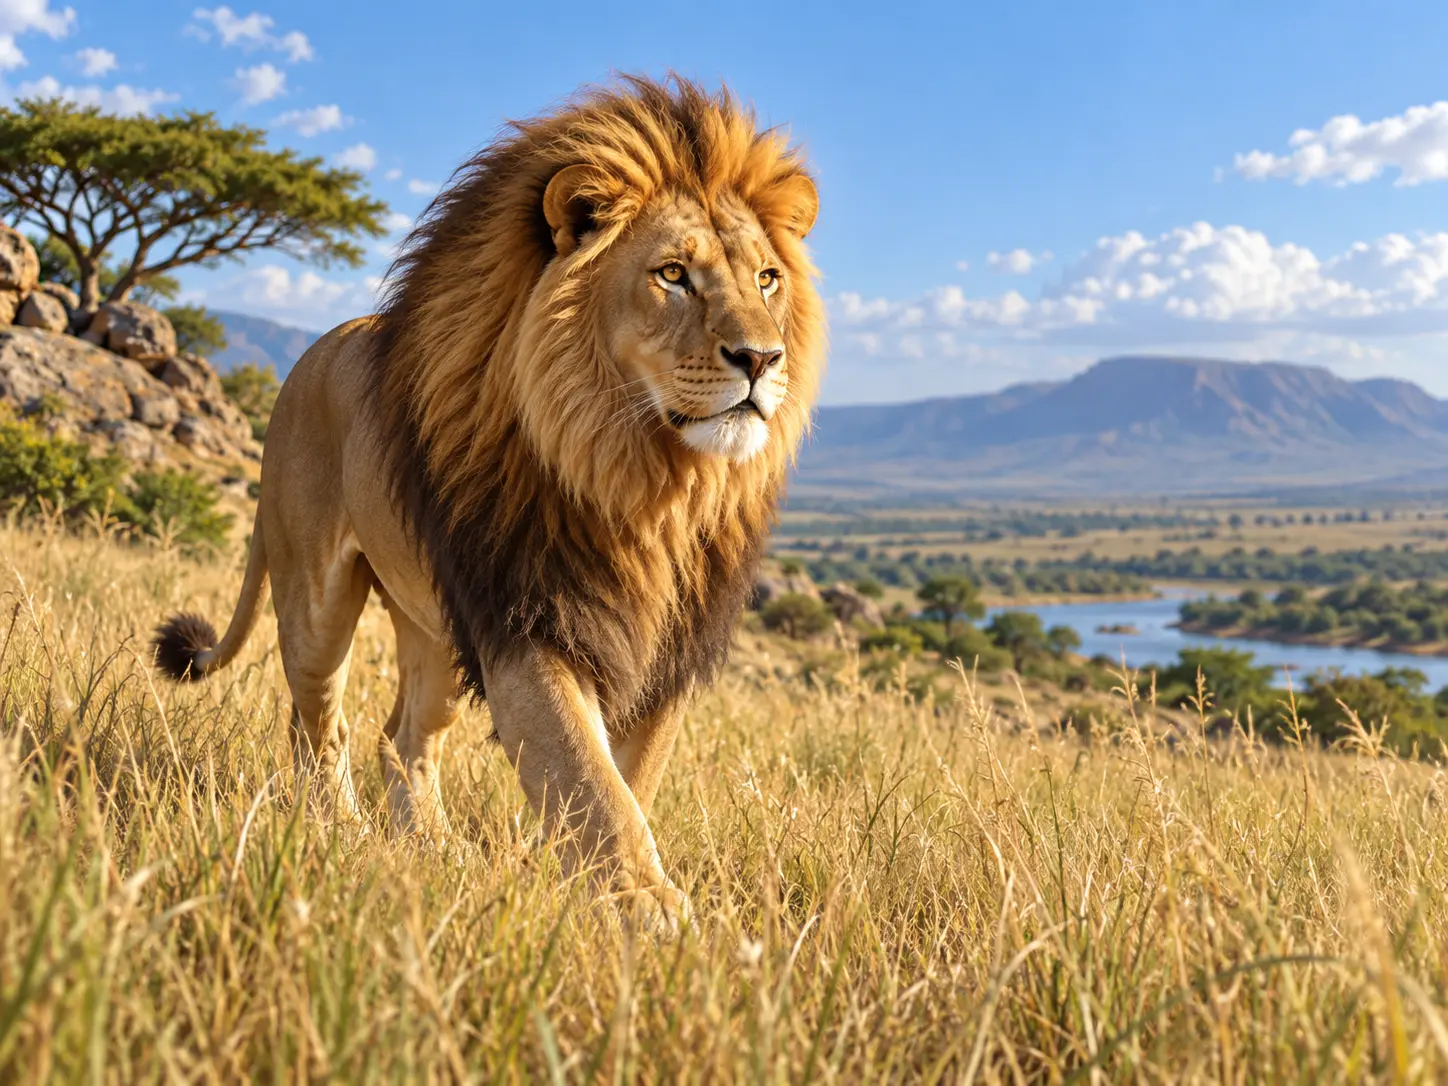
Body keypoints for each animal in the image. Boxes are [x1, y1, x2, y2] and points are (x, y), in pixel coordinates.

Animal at [151, 76, 824, 928]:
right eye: (673, 274)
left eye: (767, 278)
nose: (762, 358)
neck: (646, 481)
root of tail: (309, 354)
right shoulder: (527, 615)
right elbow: (588, 775)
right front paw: (646, 907)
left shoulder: (668, 647)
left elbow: (625, 779)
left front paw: (563, 877)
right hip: (316, 600)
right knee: (315, 725)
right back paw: (338, 831)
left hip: (434, 628)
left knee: (402, 739)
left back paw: (433, 850)